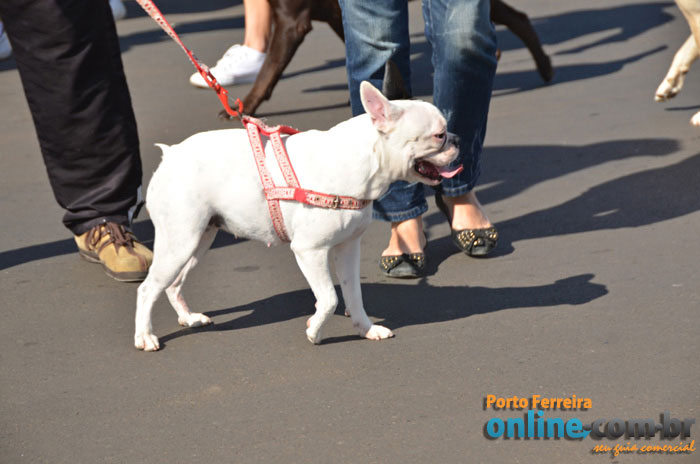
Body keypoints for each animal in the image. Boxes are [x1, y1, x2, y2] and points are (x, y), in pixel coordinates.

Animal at [134, 82, 462, 351]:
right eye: (439, 135)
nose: (457, 138)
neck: (361, 158)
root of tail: (170, 155)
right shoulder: (309, 251)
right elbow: (329, 298)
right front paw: (315, 331)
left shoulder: (347, 249)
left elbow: (353, 294)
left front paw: (365, 329)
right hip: (180, 243)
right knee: (148, 288)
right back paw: (145, 336)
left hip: (199, 240)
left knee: (173, 285)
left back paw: (188, 318)